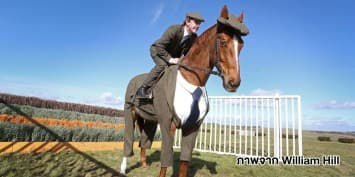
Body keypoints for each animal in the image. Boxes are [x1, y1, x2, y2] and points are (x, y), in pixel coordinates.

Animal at [121, 4, 249, 176]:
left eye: (241, 44)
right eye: (223, 41)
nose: (234, 82)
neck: (191, 81)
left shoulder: (192, 127)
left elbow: (184, 163)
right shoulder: (168, 124)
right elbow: (165, 163)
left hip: (150, 119)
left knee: (144, 140)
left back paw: (144, 164)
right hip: (130, 112)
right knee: (128, 139)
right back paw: (123, 168)